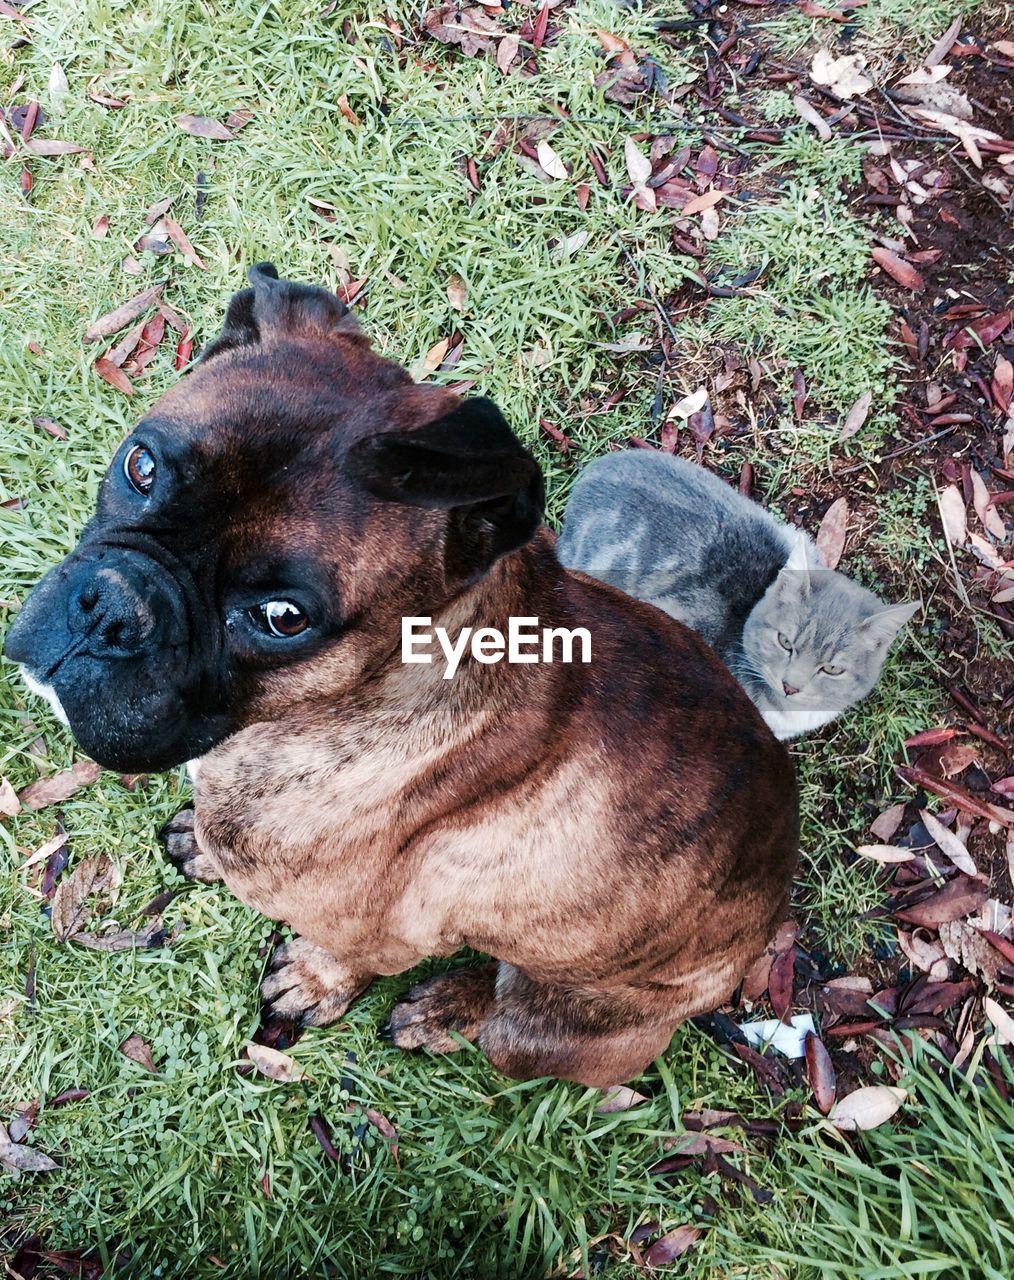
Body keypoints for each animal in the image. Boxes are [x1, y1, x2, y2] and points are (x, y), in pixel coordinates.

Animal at [7, 264, 798, 1085]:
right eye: (140, 466)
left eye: (282, 617)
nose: (111, 609)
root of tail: (765, 928)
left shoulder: (383, 932)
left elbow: (350, 955)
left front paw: (317, 979)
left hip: (537, 1029)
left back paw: (446, 1009)